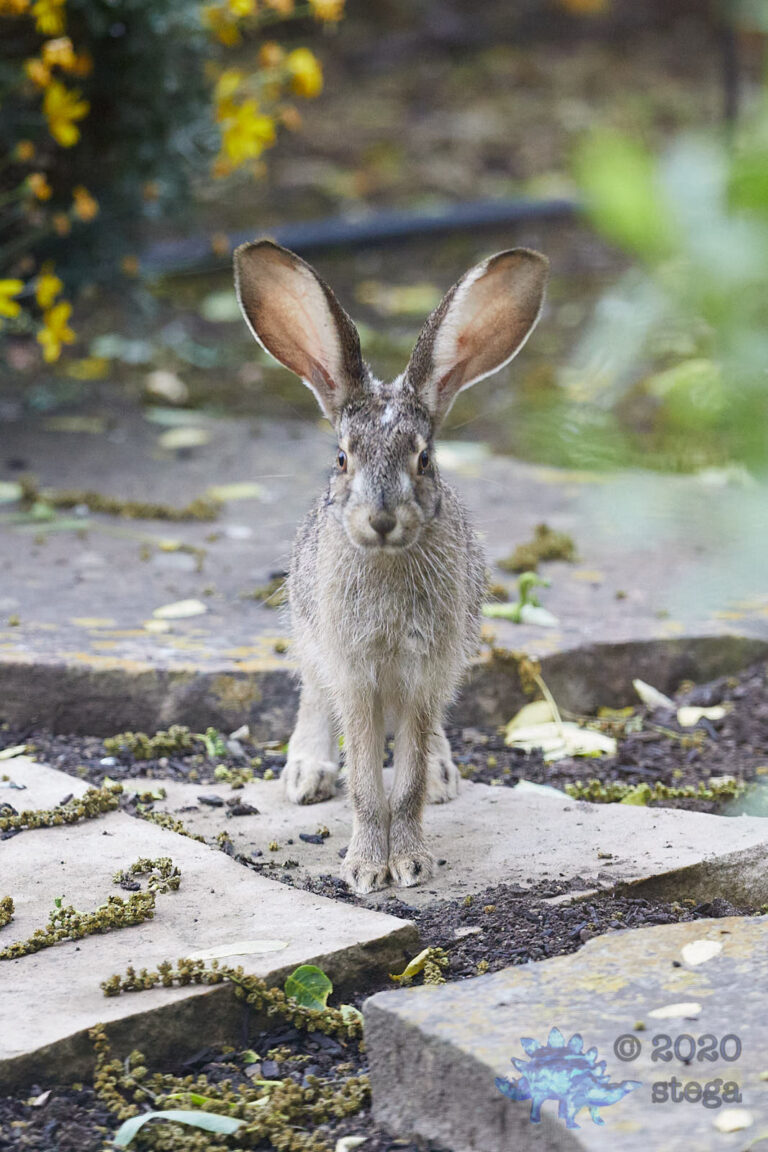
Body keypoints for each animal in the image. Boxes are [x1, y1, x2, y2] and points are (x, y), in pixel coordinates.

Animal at [234, 240, 548, 894]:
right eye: (341, 458)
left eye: (424, 460)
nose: (381, 519)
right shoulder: (353, 673)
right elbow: (364, 782)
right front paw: (363, 867)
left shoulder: (426, 673)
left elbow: (406, 782)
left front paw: (409, 863)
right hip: (309, 634)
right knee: (313, 696)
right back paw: (305, 773)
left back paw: (445, 774)